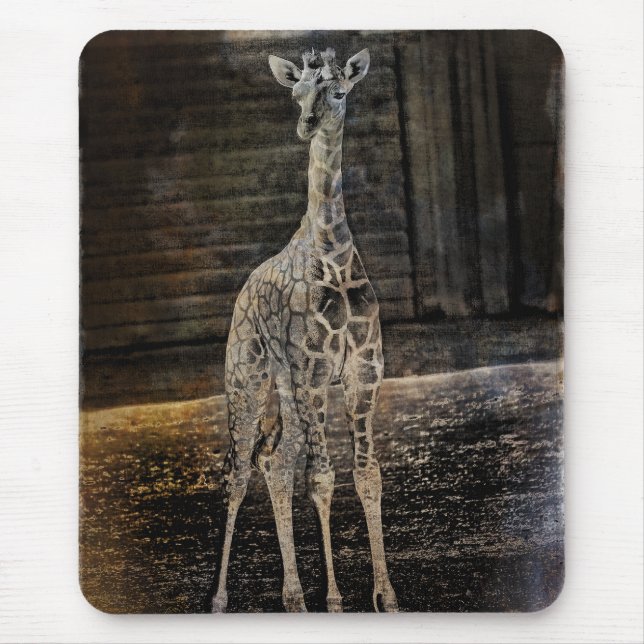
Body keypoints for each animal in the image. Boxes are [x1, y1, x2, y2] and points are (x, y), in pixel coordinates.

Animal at [211, 47, 398, 614]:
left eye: (338, 91)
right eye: (296, 93)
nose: (306, 124)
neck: (333, 251)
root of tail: (243, 292)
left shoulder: (363, 373)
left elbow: (366, 474)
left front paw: (386, 595)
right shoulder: (315, 376)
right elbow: (321, 478)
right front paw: (336, 597)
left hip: (287, 386)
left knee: (274, 459)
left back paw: (293, 596)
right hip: (248, 375)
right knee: (237, 469)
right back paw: (220, 598)